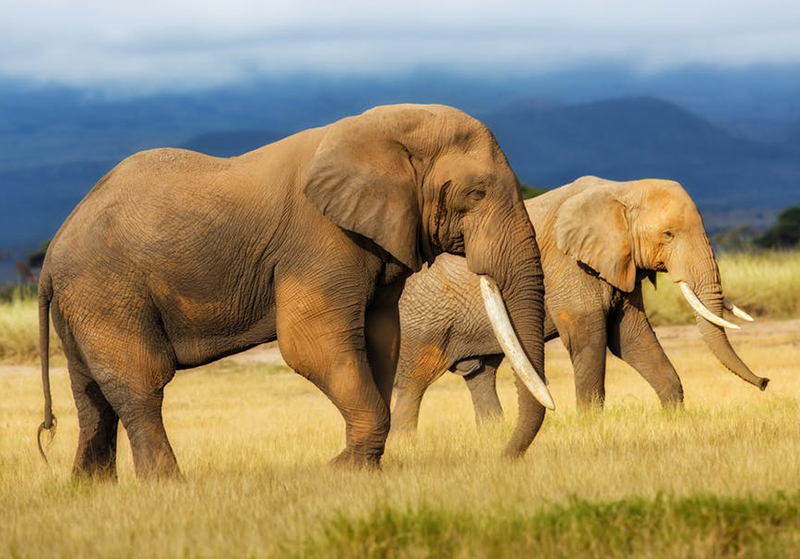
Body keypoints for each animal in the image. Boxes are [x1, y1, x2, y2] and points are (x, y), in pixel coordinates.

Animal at [36, 104, 554, 479]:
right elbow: (312, 346)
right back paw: (166, 485)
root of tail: (54, 249)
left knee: (91, 395)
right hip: (106, 290)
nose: (503, 458)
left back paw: (92, 489)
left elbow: (381, 341)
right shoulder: (318, 241)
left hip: (85, 301)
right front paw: (341, 471)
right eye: (477, 194)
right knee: (140, 382)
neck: (380, 130)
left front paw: (356, 467)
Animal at [392, 176, 768, 432]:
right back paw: (405, 440)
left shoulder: (619, 263)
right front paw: (590, 424)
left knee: (480, 373)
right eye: (668, 235)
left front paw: (674, 416)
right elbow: (590, 337)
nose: (765, 382)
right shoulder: (567, 266)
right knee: (413, 385)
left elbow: (630, 336)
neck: (622, 190)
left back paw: (492, 432)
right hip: (420, 324)